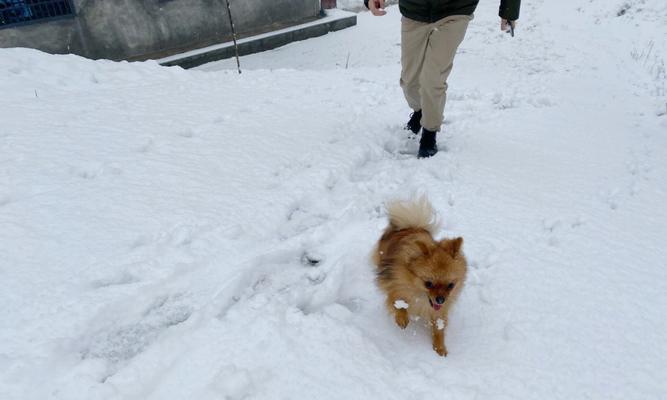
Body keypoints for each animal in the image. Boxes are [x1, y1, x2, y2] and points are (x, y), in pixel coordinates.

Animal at [374, 197, 468, 356]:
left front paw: (440, 347)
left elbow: (439, 328)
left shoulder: (440, 311)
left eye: (450, 285)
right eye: (428, 283)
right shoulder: (395, 286)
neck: (420, 296)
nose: (441, 299)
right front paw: (402, 318)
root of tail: (411, 226)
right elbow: (398, 302)